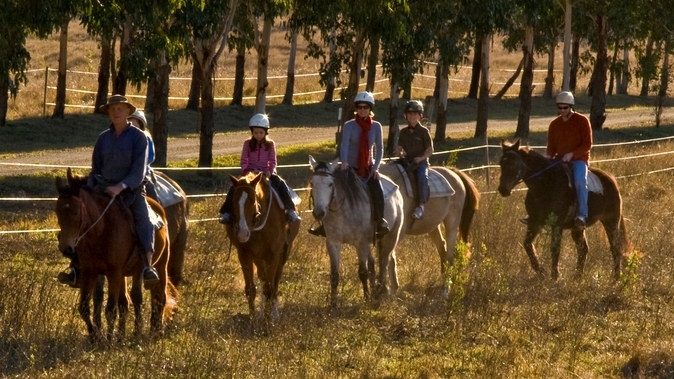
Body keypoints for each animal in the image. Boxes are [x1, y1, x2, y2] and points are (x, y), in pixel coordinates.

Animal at [55, 169, 176, 344]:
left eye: (76, 212)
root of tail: (158, 207)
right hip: (128, 273)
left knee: (158, 298)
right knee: (130, 300)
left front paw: (108, 340)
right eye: (57, 211)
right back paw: (128, 335)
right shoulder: (89, 272)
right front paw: (95, 337)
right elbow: (85, 307)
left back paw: (154, 332)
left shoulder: (113, 273)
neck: (101, 229)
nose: (66, 249)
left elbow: (110, 309)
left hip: (160, 266)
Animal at [226, 172, 300, 324]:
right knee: (263, 277)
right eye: (233, 201)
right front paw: (253, 319)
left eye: (252, 201)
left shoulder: (274, 256)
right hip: (259, 258)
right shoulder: (244, 255)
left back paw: (274, 313)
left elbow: (269, 288)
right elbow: (251, 289)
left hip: (283, 254)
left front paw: (267, 321)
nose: (242, 233)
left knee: (275, 282)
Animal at [308, 156, 402, 310]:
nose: (319, 213)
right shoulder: (333, 243)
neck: (342, 209)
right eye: (312, 183)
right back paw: (376, 289)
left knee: (384, 261)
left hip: (391, 236)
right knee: (374, 263)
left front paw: (367, 299)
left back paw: (380, 290)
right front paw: (333, 305)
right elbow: (334, 275)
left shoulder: (360, 243)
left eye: (330, 184)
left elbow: (362, 272)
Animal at [494, 140, 632, 280]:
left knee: (615, 248)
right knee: (583, 249)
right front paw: (541, 271)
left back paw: (615, 278)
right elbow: (527, 244)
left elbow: (555, 249)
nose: (503, 190)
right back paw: (577, 277)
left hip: (611, 221)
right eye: (501, 163)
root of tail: (611, 179)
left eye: (514, 164)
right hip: (578, 228)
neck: (546, 183)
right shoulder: (534, 223)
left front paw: (554, 277)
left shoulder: (557, 225)